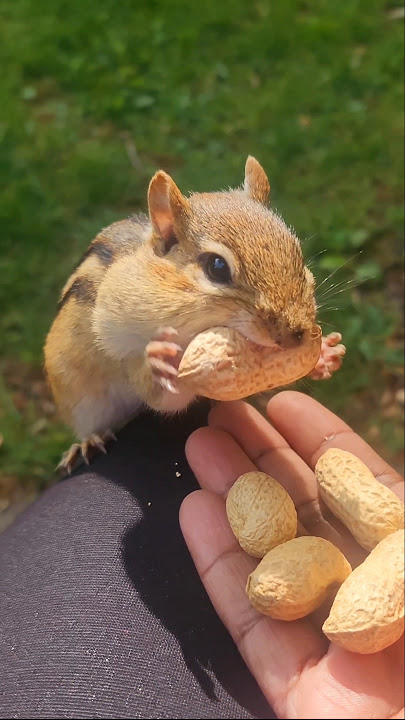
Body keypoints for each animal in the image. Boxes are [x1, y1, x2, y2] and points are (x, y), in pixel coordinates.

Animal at [44, 156, 345, 473]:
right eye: (217, 267)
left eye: (297, 254)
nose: (297, 334)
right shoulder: (123, 350)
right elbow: (158, 396)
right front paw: (162, 360)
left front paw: (324, 356)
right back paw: (86, 443)